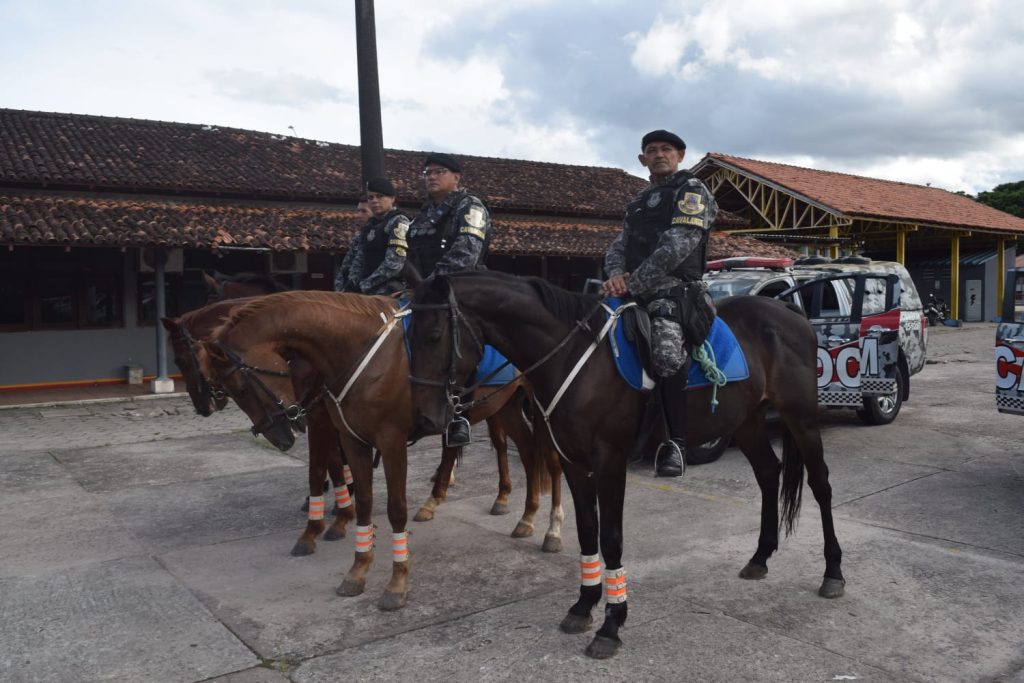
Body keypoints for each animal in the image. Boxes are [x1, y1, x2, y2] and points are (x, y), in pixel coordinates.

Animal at [195, 288, 565, 610]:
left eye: (241, 386)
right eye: (229, 389)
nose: (281, 436)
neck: (359, 353)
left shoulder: (390, 441)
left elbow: (395, 509)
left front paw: (396, 583)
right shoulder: (351, 439)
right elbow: (362, 501)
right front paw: (357, 568)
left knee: (551, 461)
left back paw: (552, 530)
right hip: (506, 406)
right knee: (528, 454)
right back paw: (526, 517)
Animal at [403, 270, 843, 659]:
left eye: (434, 335)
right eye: (407, 339)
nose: (424, 417)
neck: (572, 358)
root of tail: (789, 311)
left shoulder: (610, 460)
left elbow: (611, 538)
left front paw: (611, 625)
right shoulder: (574, 461)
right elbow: (587, 531)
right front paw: (584, 605)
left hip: (801, 417)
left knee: (821, 485)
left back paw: (833, 573)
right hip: (748, 421)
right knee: (769, 474)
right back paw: (759, 557)